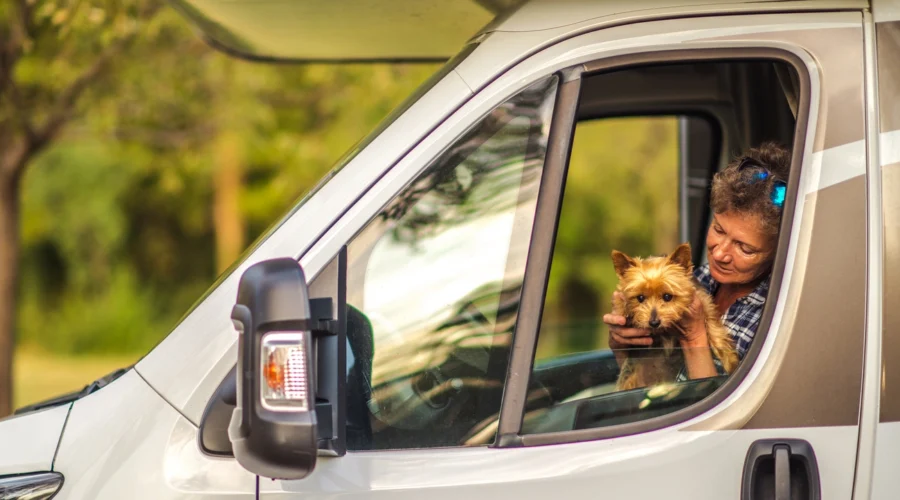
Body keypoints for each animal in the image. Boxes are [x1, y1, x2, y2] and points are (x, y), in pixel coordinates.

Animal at [612, 242, 740, 390]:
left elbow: (715, 330)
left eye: (667, 296)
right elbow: (620, 301)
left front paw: (731, 362)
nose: (654, 323)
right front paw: (625, 310)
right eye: (640, 298)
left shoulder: (703, 302)